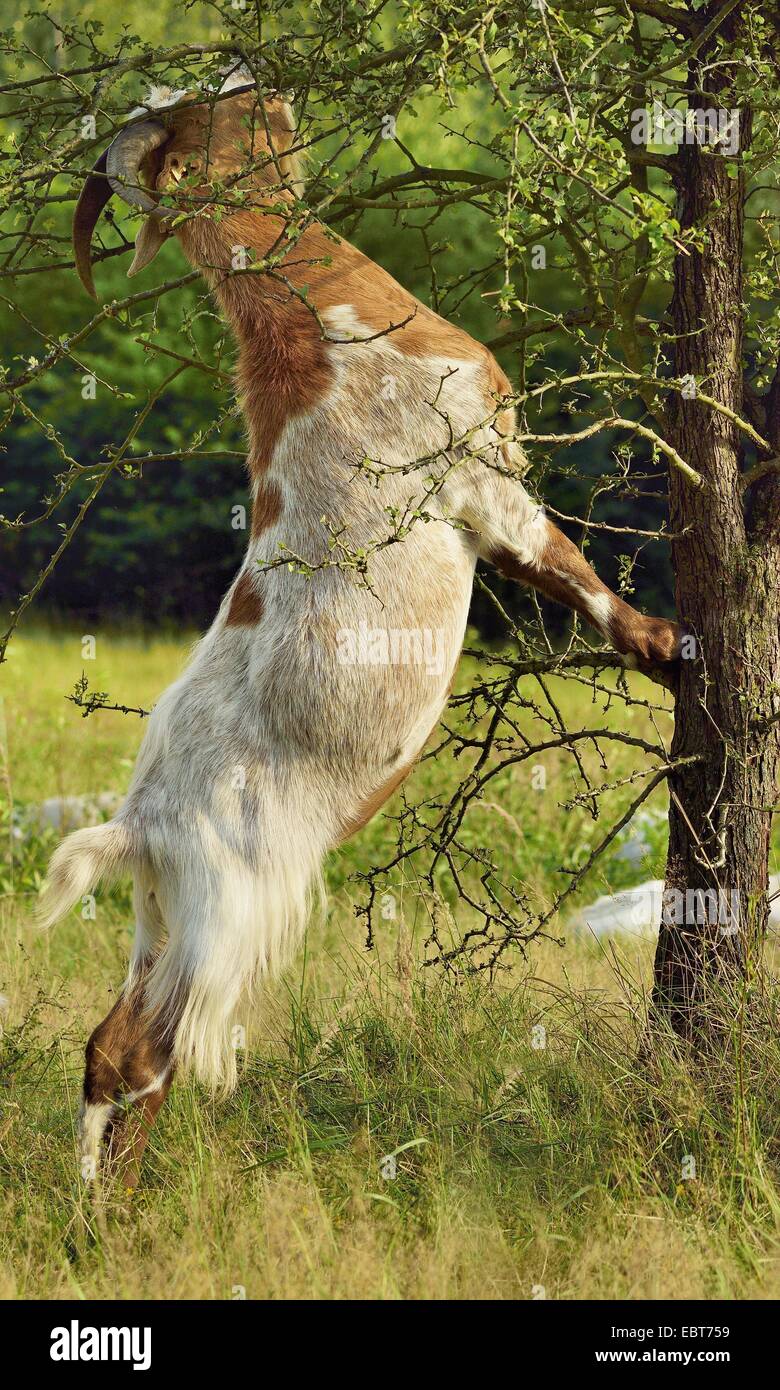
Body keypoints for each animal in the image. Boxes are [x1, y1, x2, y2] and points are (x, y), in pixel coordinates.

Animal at [39, 70, 678, 1189]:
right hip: (227, 902)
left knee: (121, 1043)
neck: (326, 326)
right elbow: (575, 577)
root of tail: (141, 824)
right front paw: (674, 653)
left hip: (161, 916)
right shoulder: (474, 480)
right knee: (142, 1048)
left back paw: (111, 1197)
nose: (258, 79)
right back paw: (101, 1208)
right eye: (212, 114)